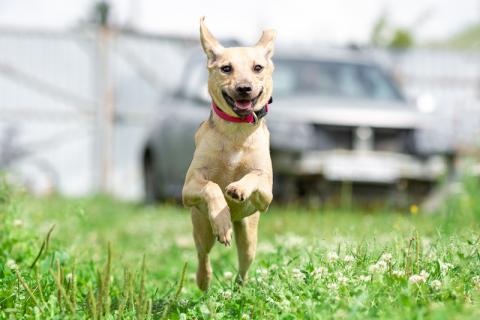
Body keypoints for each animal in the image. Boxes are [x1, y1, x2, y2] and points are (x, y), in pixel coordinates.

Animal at [182, 18, 276, 292]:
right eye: (226, 68)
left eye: (258, 67)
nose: (244, 88)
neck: (237, 131)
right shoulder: (189, 187)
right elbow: (212, 187)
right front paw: (222, 219)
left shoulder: (266, 195)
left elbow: (254, 176)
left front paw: (238, 189)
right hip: (201, 225)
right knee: (203, 254)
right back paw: (204, 279)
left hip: (249, 234)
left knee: (244, 264)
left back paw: (240, 287)